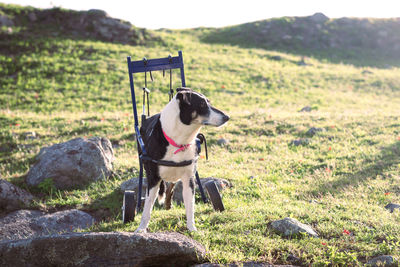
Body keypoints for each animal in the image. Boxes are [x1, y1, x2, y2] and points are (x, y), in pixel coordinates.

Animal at [135, 88, 228, 232]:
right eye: (202, 104)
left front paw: (192, 228)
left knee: (171, 186)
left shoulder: (189, 178)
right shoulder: (153, 177)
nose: (227, 117)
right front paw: (141, 229)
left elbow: (190, 206)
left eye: (208, 102)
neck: (178, 142)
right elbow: (147, 207)